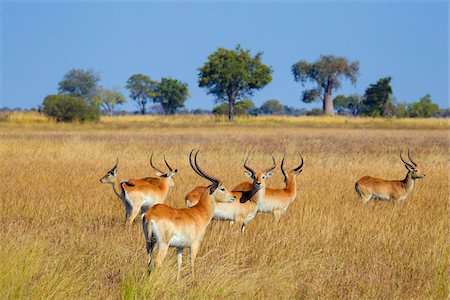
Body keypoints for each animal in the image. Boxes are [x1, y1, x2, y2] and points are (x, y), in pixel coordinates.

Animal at [142, 151, 236, 280]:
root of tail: (151, 214)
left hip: (149, 243)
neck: (199, 212)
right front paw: (193, 280)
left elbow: (179, 263)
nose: (234, 197)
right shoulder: (194, 244)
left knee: (148, 260)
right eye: (222, 188)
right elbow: (192, 261)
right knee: (157, 261)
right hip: (163, 244)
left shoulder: (180, 247)